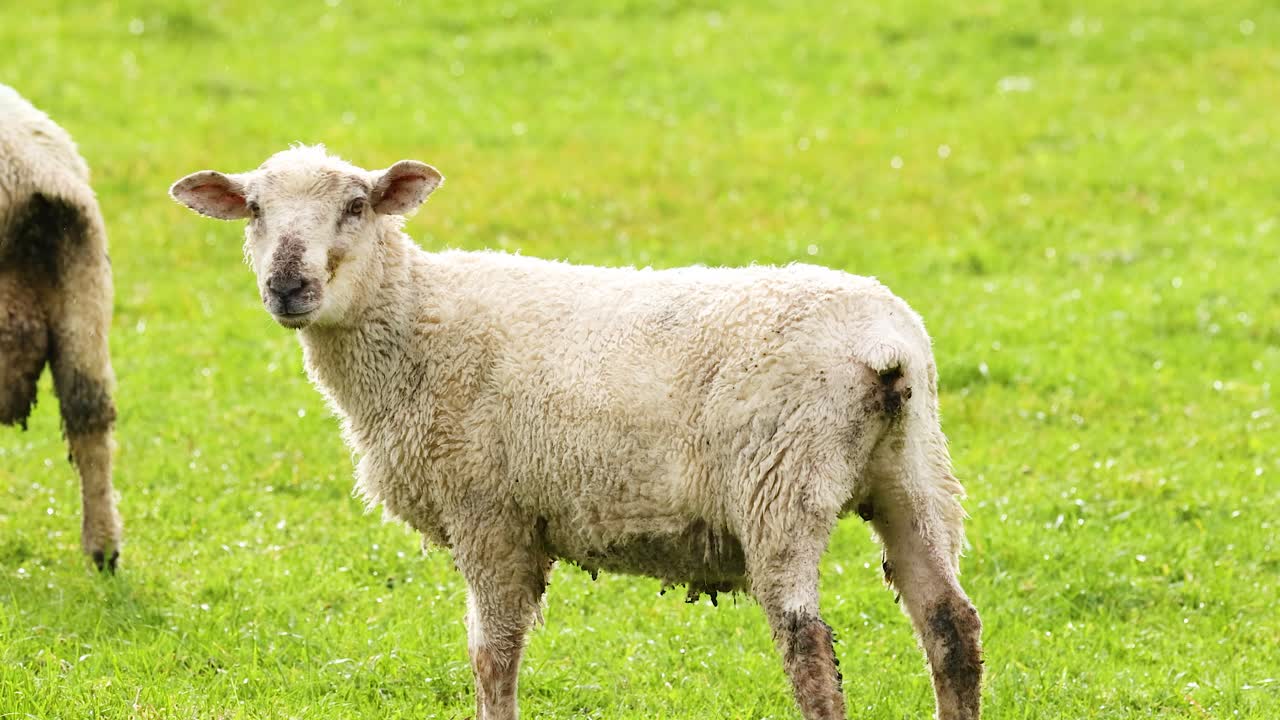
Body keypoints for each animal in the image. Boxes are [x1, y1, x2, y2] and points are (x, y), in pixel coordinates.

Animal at [169, 145, 983, 720]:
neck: (414, 321)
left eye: (358, 204)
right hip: (917, 473)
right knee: (951, 626)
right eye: (253, 209)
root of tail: (883, 345)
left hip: (782, 486)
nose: (288, 286)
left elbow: (492, 656)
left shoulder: (489, 514)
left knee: (808, 645)